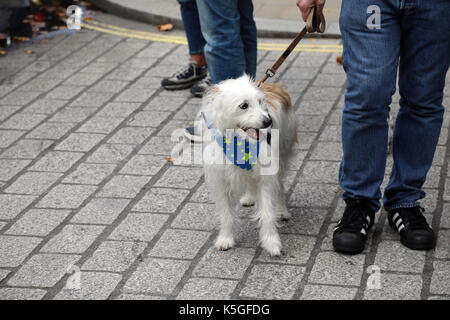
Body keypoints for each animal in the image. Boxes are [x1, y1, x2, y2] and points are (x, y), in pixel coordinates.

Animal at [200, 74, 298, 255]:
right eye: (244, 106)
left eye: (260, 102)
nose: (268, 121)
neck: (240, 142)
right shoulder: (221, 180)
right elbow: (226, 214)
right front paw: (226, 238)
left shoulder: (266, 178)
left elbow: (267, 212)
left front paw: (271, 242)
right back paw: (249, 197)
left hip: (281, 156)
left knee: (279, 187)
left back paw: (281, 210)